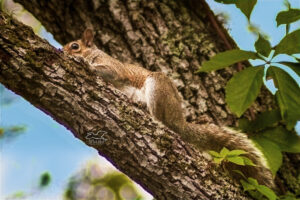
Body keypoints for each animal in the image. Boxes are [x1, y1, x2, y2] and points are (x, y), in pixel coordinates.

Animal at [63, 28, 274, 189]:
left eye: (74, 46)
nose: (62, 51)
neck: (93, 53)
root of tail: (179, 120)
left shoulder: (114, 68)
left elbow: (109, 72)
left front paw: (83, 63)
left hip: (157, 87)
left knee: (160, 119)